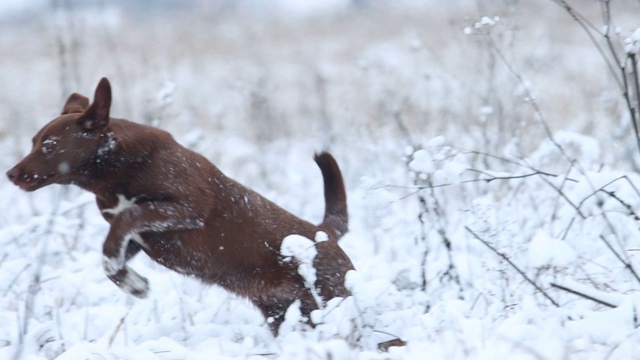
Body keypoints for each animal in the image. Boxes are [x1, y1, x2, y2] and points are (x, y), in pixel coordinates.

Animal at [5, 77, 356, 334]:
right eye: (34, 141)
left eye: (50, 145)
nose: (10, 174)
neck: (115, 166)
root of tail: (325, 234)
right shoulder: (138, 239)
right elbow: (112, 256)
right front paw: (134, 285)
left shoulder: (187, 208)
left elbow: (126, 220)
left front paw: (128, 278)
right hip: (282, 313)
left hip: (330, 298)